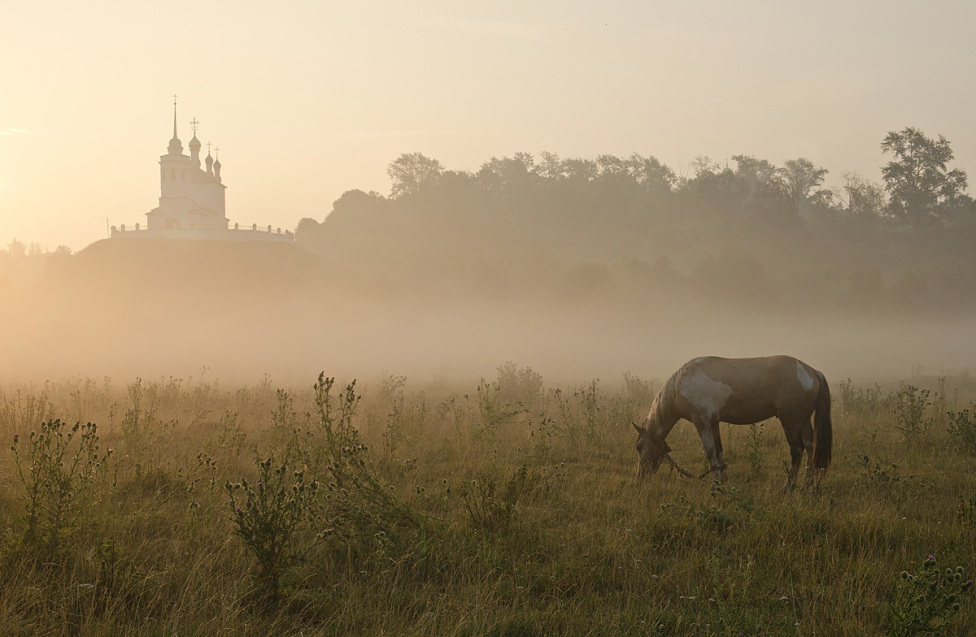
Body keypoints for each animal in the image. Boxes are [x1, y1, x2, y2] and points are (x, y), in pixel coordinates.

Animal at [636, 356, 836, 490]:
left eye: (638, 447)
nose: (640, 478)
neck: (680, 384)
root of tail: (812, 371)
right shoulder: (713, 422)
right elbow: (719, 450)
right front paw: (722, 480)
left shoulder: (701, 420)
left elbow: (710, 452)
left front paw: (714, 484)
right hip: (804, 421)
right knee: (810, 448)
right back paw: (807, 486)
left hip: (791, 421)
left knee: (797, 451)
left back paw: (788, 487)